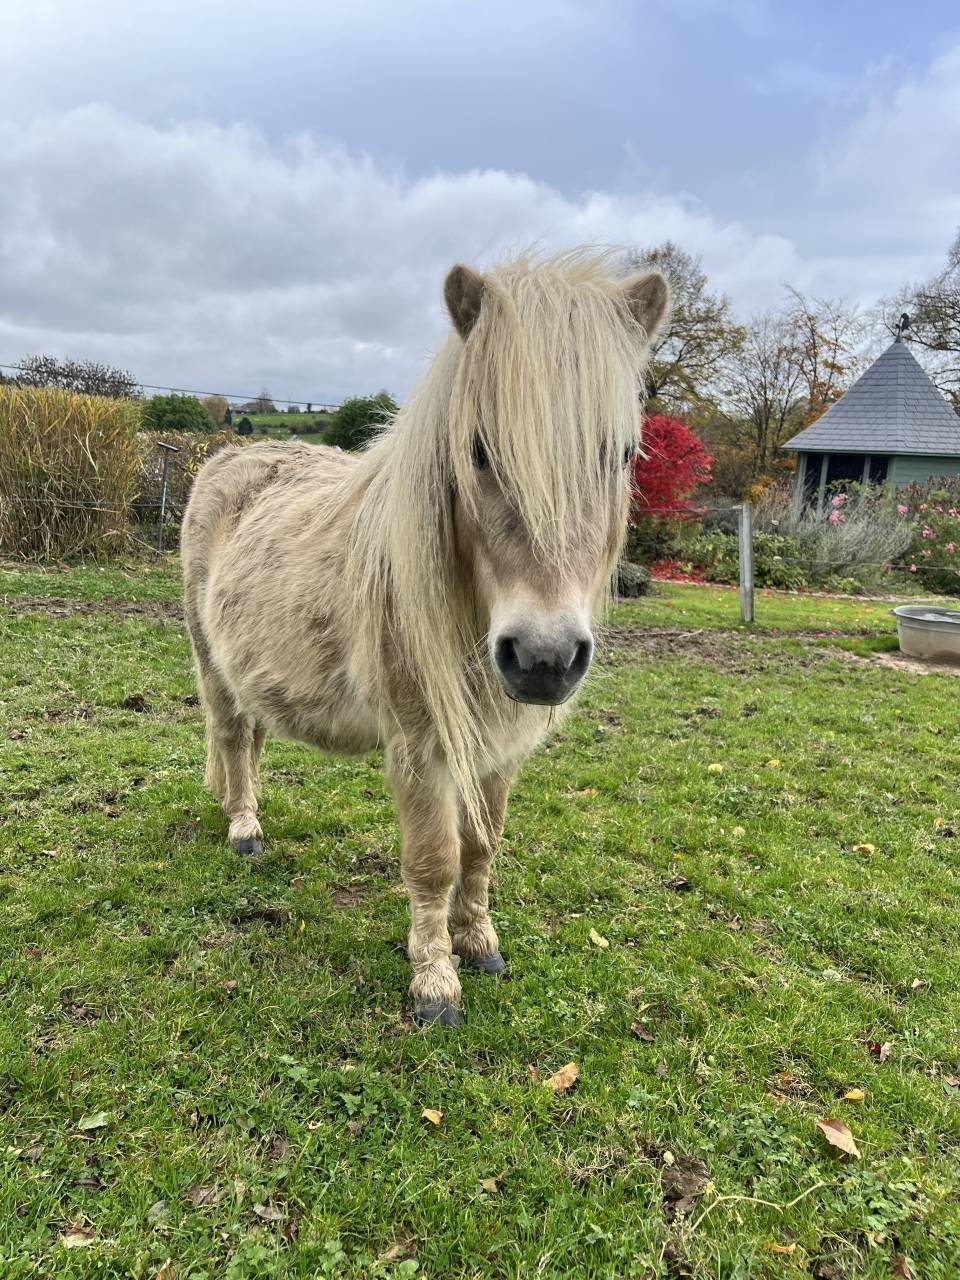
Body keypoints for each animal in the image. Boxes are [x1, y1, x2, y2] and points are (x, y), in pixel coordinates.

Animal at [181, 250, 668, 1026]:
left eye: (621, 454)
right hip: (211, 662)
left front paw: (480, 943)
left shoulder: (500, 752)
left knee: (250, 741)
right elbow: (434, 861)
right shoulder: (420, 748)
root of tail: (228, 459)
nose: (545, 659)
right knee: (230, 740)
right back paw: (244, 829)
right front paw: (435, 983)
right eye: (479, 450)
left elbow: (481, 849)